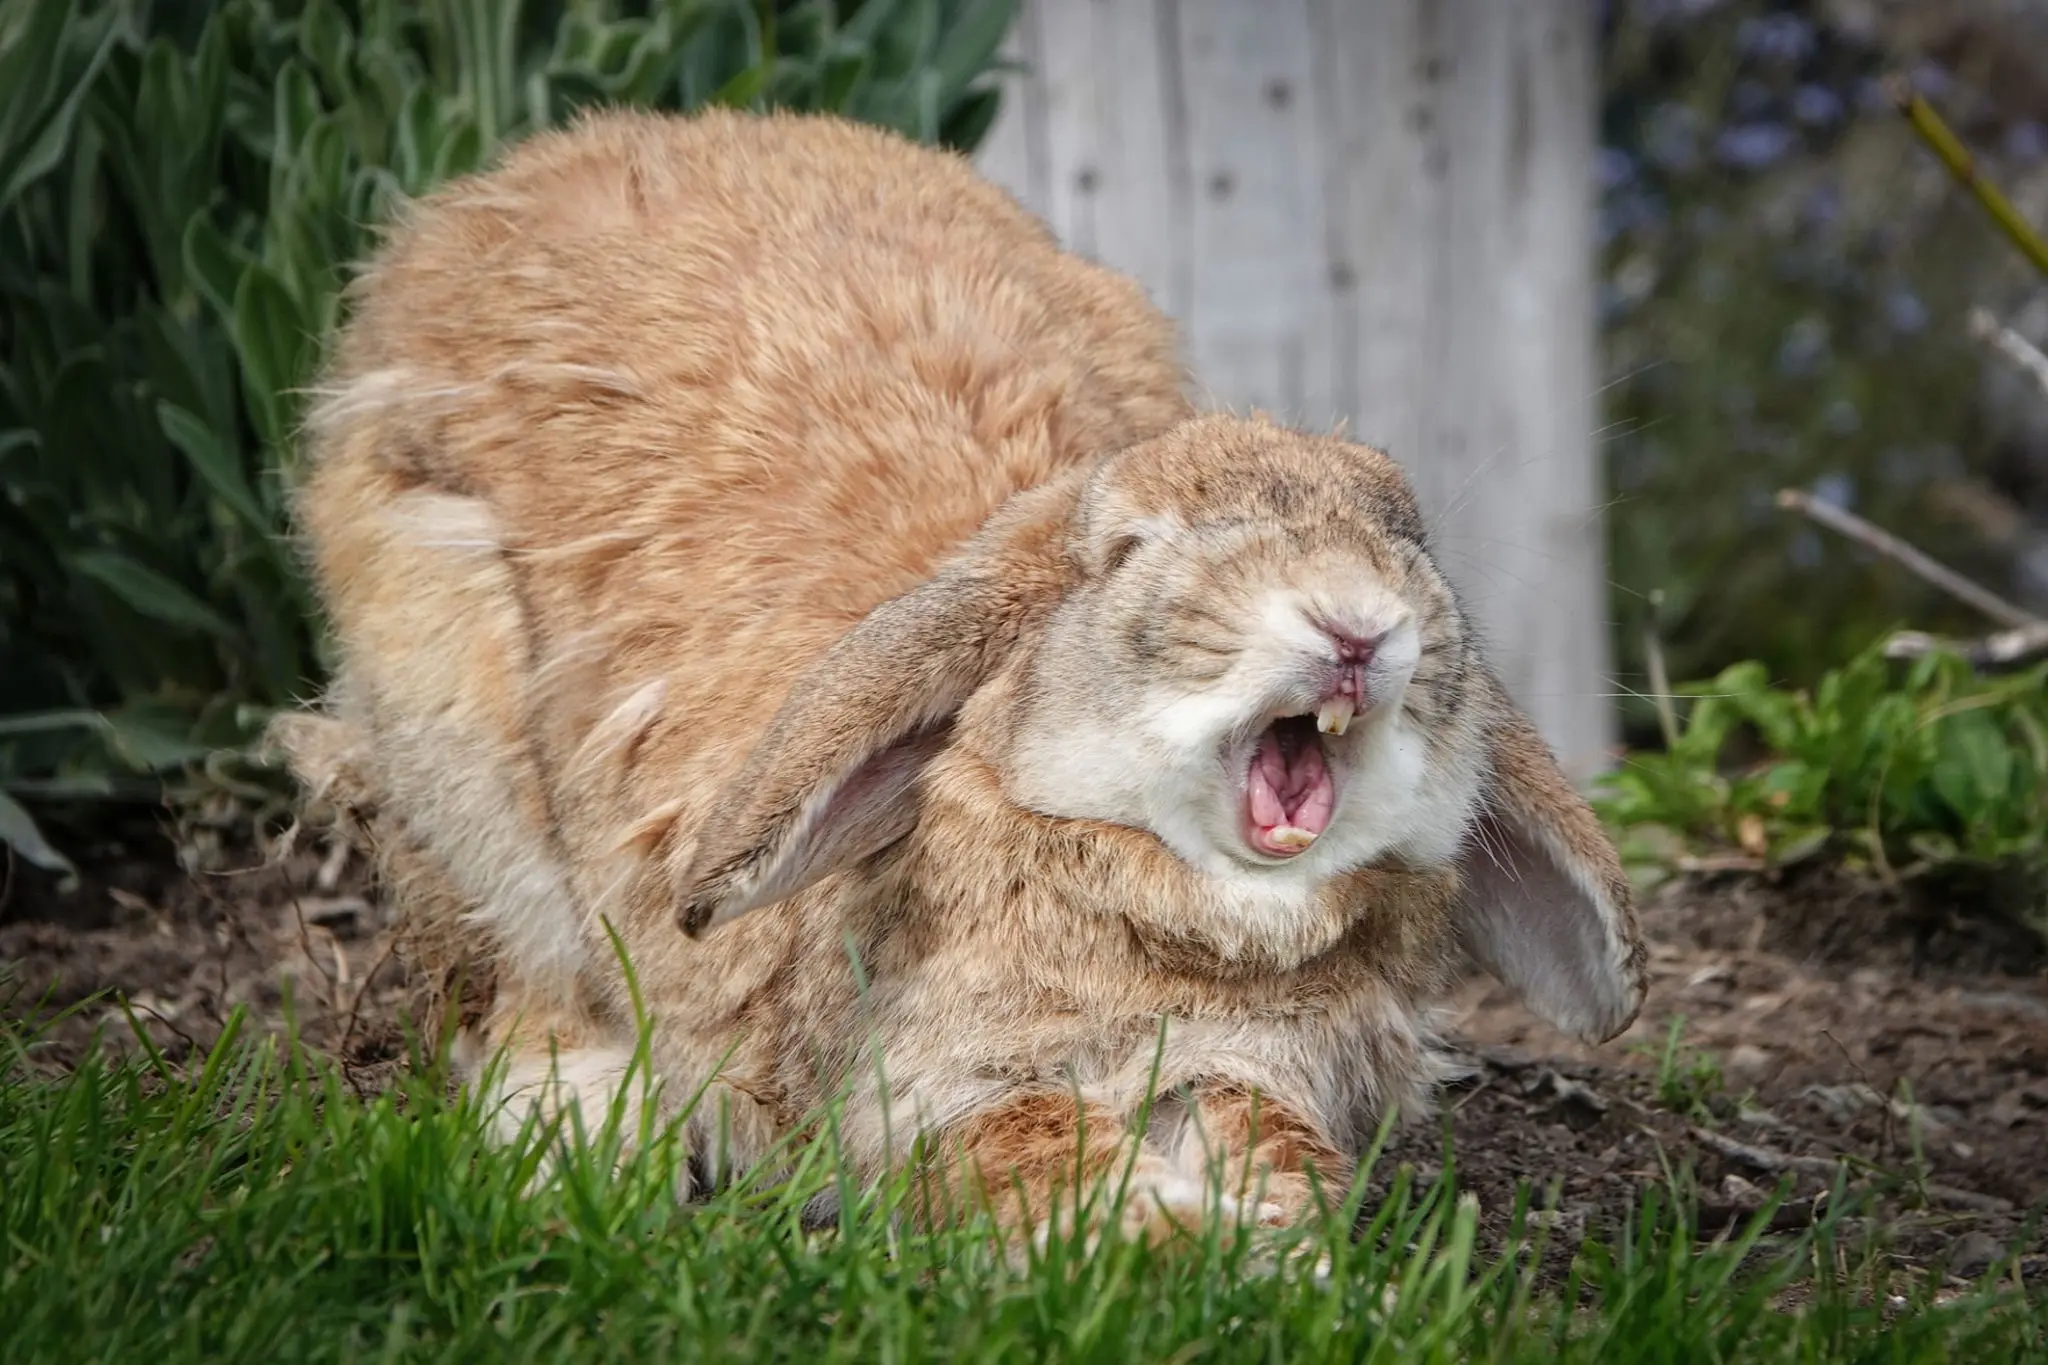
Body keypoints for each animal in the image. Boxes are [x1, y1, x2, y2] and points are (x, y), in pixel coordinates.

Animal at [274, 105, 1647, 1245]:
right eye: (1129, 549)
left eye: (1407, 537)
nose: (1356, 626)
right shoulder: (935, 1090)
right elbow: (1033, 1158)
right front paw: (1157, 1256)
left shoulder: (1238, 1067)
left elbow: (1266, 1145)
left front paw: (1279, 1253)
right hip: (456, 731)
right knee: (524, 978)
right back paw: (578, 1135)